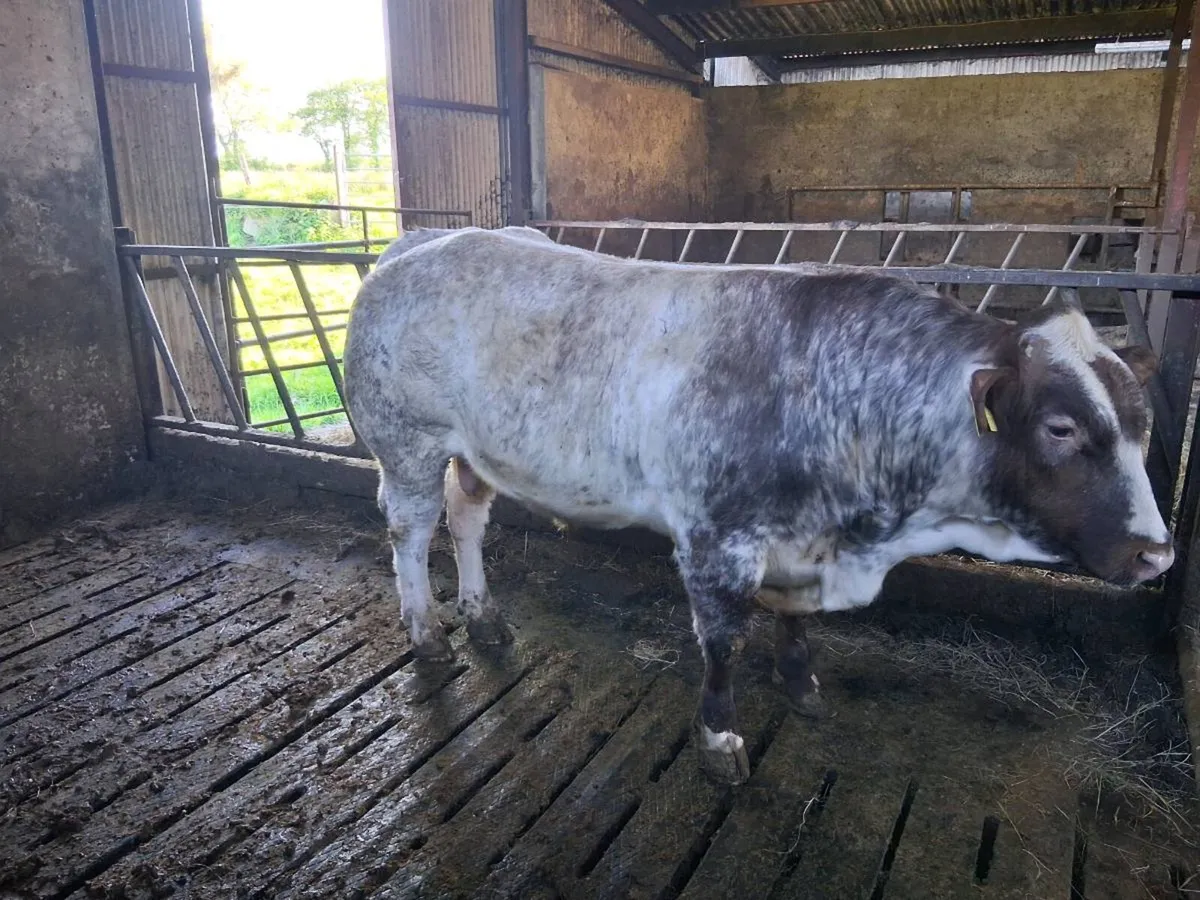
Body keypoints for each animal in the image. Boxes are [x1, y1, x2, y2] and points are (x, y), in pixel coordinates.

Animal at [343, 227, 1173, 785]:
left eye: (1144, 426)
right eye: (1061, 428)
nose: (1157, 552)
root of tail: (421, 240)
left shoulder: (803, 544)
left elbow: (797, 623)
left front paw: (802, 686)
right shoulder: (718, 538)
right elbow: (722, 644)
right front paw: (719, 741)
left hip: (475, 450)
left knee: (466, 517)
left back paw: (484, 617)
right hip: (408, 441)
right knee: (410, 530)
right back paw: (427, 632)